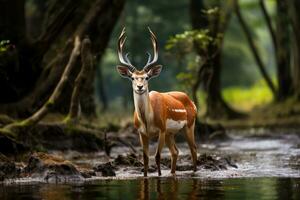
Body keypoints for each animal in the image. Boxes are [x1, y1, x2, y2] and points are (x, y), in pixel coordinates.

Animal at [116, 27, 198, 177]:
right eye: (132, 77)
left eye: (147, 77)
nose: (140, 87)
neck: (147, 120)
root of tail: (192, 102)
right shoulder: (141, 132)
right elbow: (145, 158)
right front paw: (145, 175)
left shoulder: (161, 129)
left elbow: (157, 156)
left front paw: (159, 175)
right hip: (171, 132)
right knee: (175, 152)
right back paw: (172, 173)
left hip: (189, 124)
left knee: (193, 149)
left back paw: (194, 171)